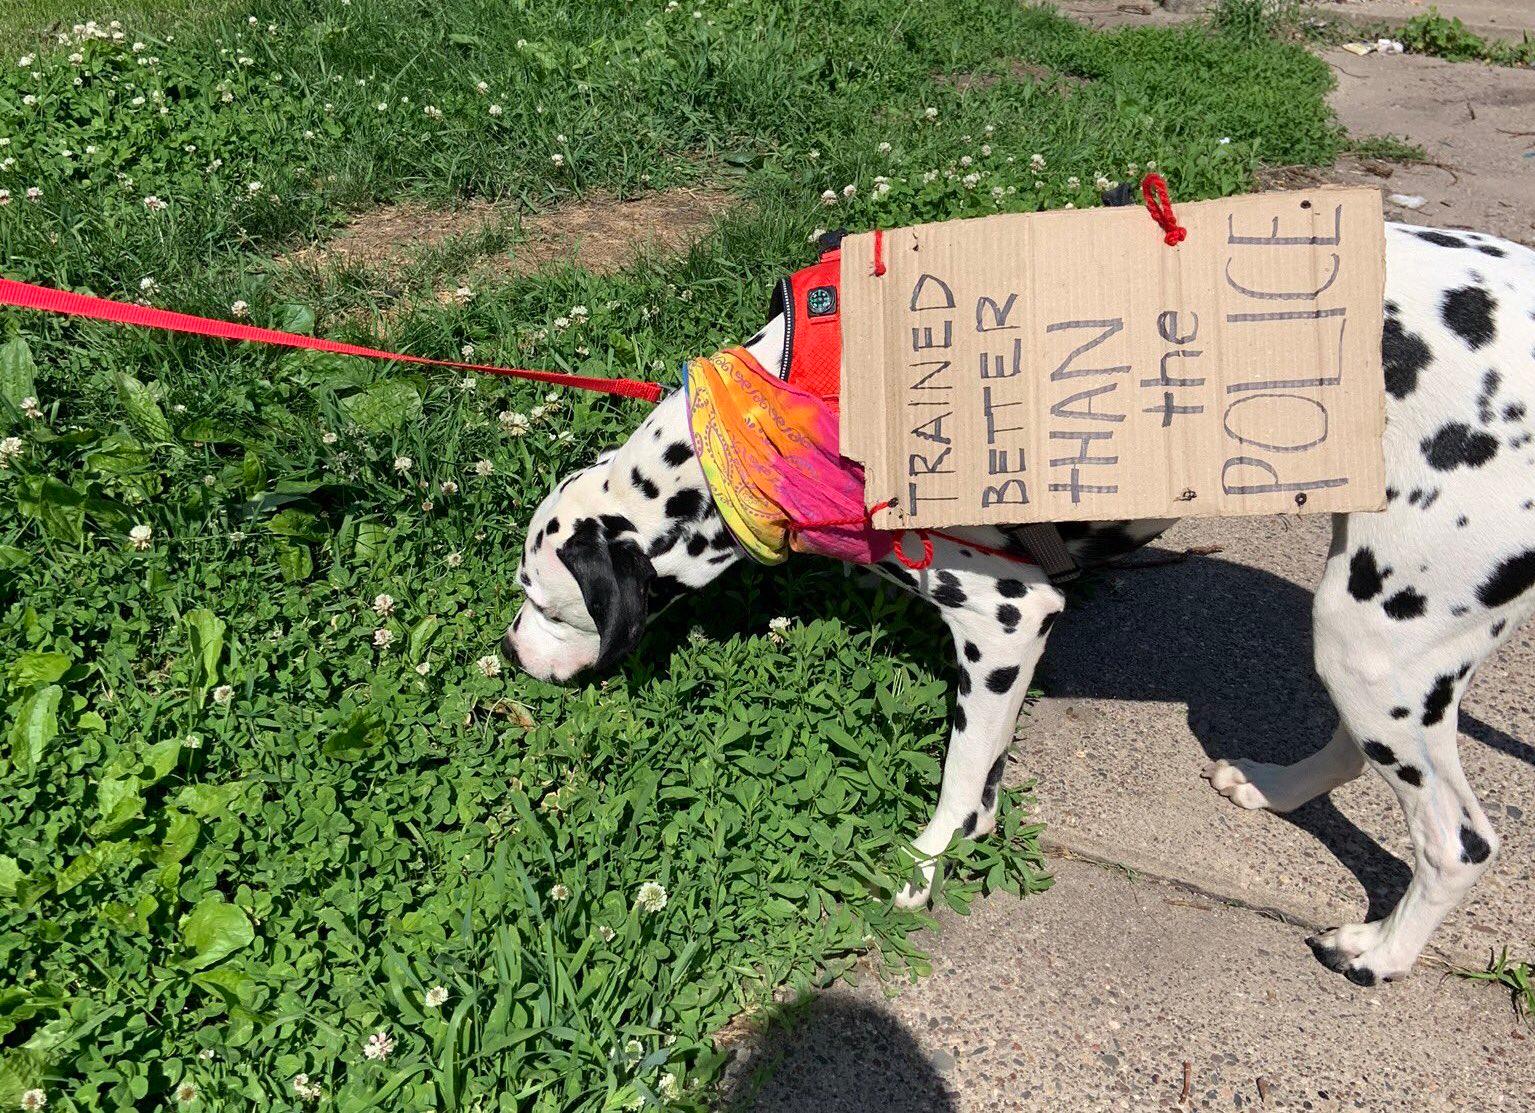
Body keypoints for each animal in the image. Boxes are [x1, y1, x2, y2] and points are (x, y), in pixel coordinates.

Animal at [506, 224, 1535, 982]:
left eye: (537, 597)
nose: (511, 654)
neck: (788, 408)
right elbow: (986, 768)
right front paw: (969, 835)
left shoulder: (1005, 616)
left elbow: (960, 774)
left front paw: (922, 867)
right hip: (1366, 629)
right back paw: (1275, 789)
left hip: (1374, 640)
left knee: (1458, 841)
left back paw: (1378, 955)